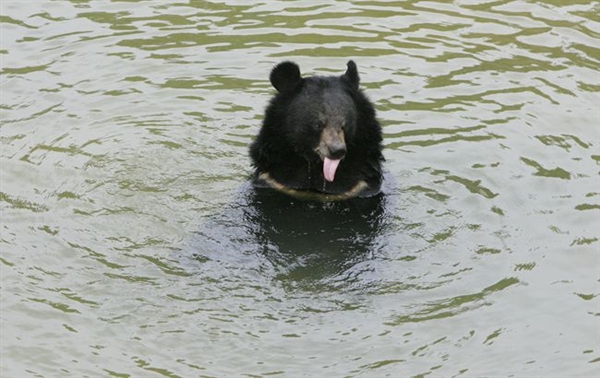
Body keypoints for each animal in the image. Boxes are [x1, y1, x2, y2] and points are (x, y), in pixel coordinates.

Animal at [250, 59, 384, 201]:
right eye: (318, 124)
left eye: (345, 124)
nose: (337, 151)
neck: (314, 163)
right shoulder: (272, 178)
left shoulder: (360, 184)